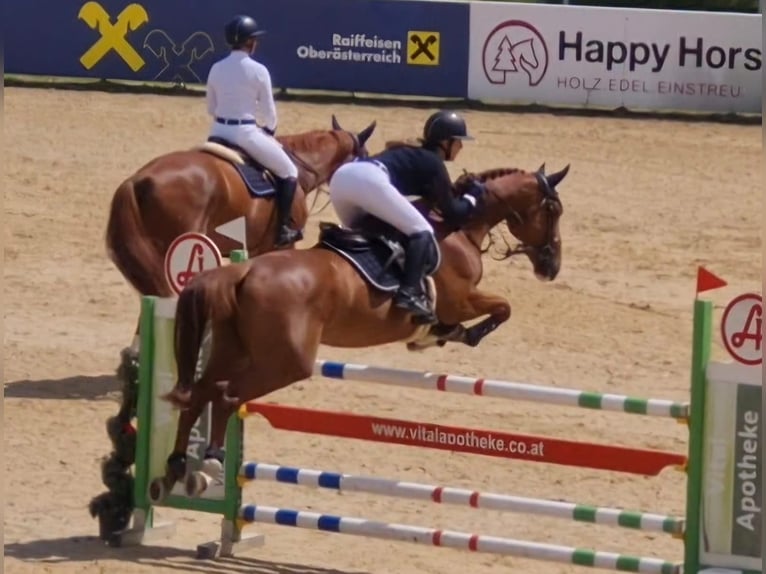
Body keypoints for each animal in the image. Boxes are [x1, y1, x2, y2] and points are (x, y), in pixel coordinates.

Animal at [147, 163, 570, 500]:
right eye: (552, 209)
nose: (551, 266)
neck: (459, 229)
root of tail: (243, 270)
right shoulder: (461, 300)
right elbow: (502, 308)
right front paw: (454, 334)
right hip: (285, 363)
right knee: (226, 395)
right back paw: (211, 464)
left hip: (232, 349)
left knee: (200, 394)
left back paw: (175, 469)